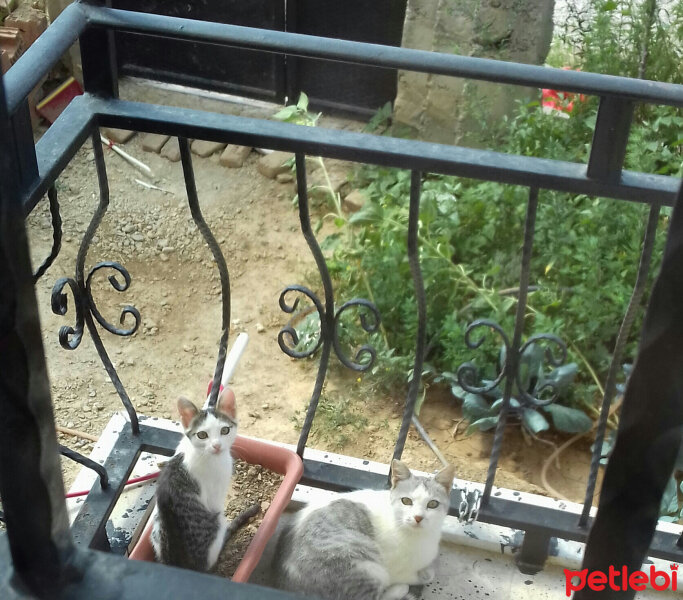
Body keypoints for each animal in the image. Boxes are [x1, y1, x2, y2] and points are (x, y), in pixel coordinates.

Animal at [272, 460, 454, 600]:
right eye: (406, 501)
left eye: (432, 504)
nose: (418, 517)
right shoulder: (395, 571)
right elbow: (425, 575)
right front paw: (422, 576)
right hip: (366, 566)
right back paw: (400, 589)